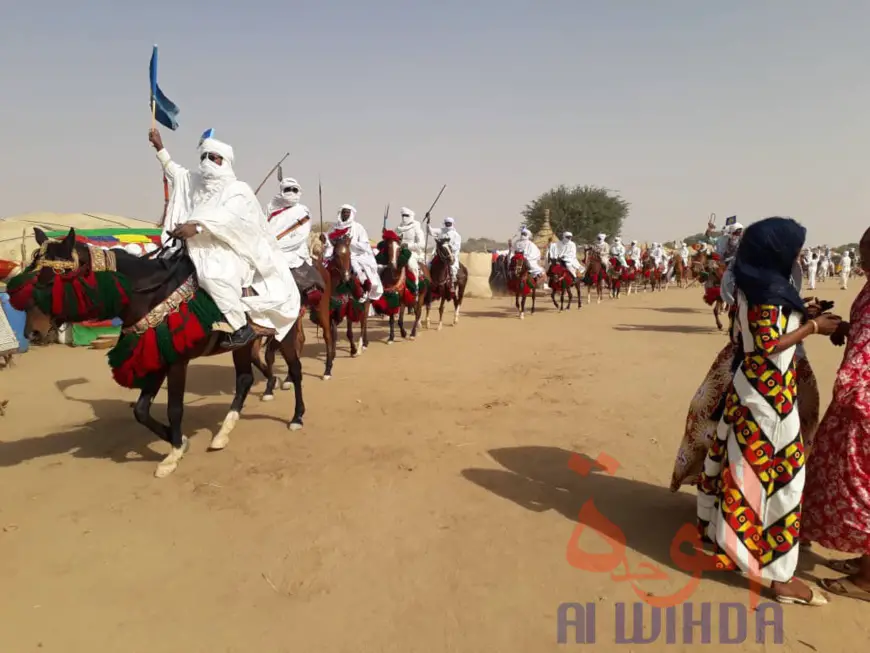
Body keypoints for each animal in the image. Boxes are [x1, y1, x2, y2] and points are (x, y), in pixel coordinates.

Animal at [6, 227, 304, 476]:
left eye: (53, 279)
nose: (32, 333)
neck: (149, 294)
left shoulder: (177, 361)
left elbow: (174, 408)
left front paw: (172, 455)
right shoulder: (157, 356)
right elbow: (141, 410)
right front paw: (179, 440)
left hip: (285, 334)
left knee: (295, 371)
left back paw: (297, 417)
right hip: (242, 345)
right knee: (244, 379)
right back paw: (223, 432)